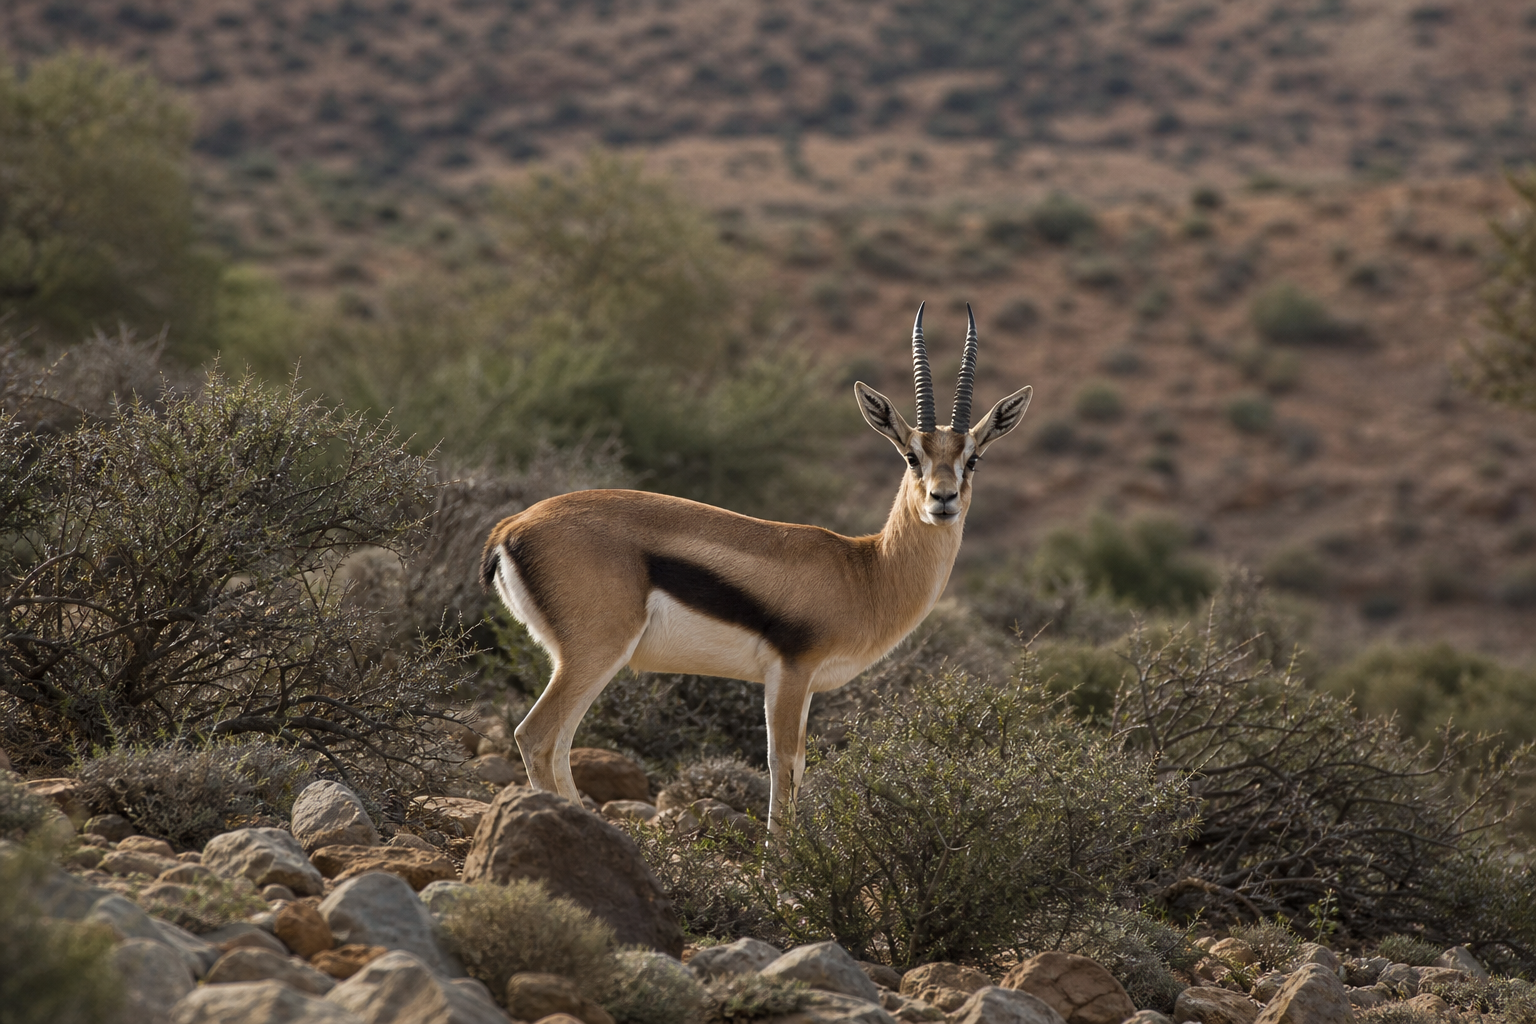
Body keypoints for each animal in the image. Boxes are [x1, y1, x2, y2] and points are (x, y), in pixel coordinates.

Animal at [481, 304, 1031, 830]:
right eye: (912, 455)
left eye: (973, 459)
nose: (942, 500)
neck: (864, 571)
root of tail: (510, 528)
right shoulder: (790, 673)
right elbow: (784, 763)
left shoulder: (803, 685)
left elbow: (796, 766)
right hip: (596, 653)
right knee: (535, 736)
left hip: (578, 661)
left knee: (559, 742)